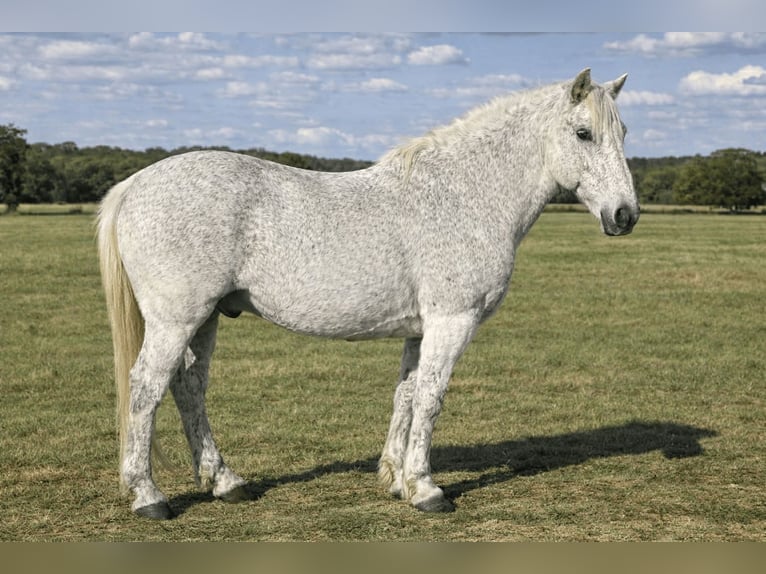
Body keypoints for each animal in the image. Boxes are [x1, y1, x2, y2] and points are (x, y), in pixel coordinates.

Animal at [97, 68, 639, 519]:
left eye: (624, 134)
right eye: (583, 133)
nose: (625, 215)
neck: (465, 195)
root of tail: (135, 184)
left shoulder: (420, 330)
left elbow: (407, 395)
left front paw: (397, 480)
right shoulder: (452, 321)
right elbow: (432, 399)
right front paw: (426, 490)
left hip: (205, 318)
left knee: (188, 387)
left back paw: (225, 482)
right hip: (176, 320)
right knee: (146, 389)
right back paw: (149, 496)